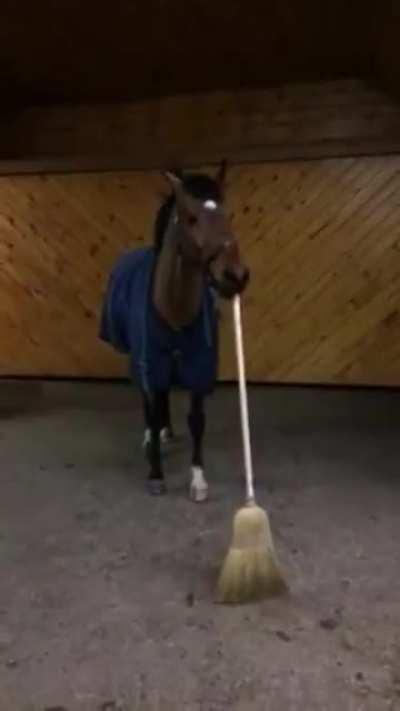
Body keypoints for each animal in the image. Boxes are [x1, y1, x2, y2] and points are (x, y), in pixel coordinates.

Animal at [99, 162, 249, 501]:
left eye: (228, 214)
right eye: (191, 217)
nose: (235, 276)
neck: (174, 309)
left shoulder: (198, 366)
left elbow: (196, 421)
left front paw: (198, 479)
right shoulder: (150, 361)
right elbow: (152, 409)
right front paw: (156, 474)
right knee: (149, 402)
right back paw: (151, 438)